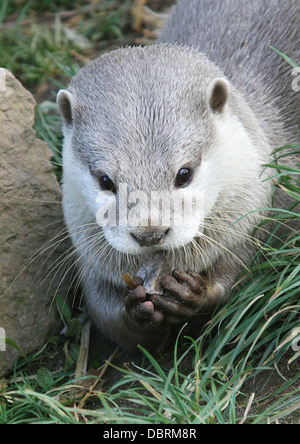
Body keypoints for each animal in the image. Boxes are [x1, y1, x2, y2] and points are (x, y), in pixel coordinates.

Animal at [57, 0, 298, 350]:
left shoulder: (258, 221)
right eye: (105, 180)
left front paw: (194, 293)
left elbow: (243, 280)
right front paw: (134, 309)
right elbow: (104, 315)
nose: (150, 233)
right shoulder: (89, 259)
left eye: (184, 174)